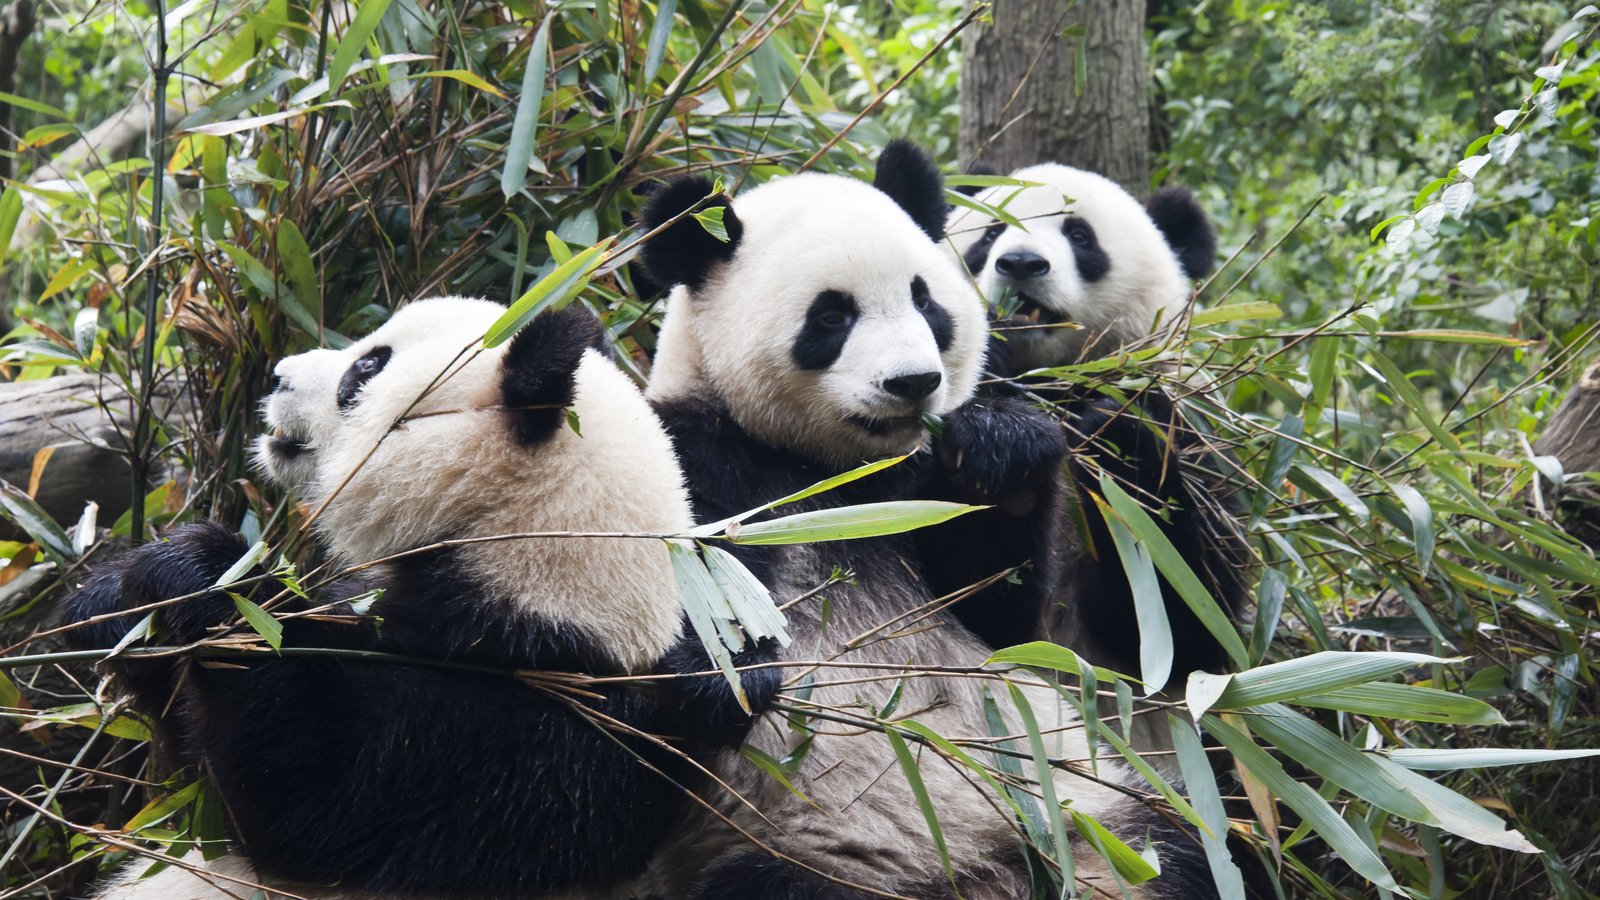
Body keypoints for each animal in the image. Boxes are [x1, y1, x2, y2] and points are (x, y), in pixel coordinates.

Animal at [64, 297, 777, 899]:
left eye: (367, 367)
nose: (279, 374)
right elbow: (189, 766)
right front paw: (111, 601)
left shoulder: (538, 728)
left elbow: (311, 798)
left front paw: (205, 577)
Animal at [634, 143, 1215, 900]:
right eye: (831, 317)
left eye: (926, 300)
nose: (914, 382)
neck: (836, 470)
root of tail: (988, 873)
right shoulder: (699, 455)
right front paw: (725, 671)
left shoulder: (917, 490)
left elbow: (1008, 621)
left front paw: (1005, 451)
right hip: (813, 855)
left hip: (1106, 816)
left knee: (1195, 848)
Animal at [947, 163, 1252, 716]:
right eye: (989, 233)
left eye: (1081, 236)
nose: (1020, 263)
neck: (1052, 378)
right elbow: (982, 613)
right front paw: (1000, 446)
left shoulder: (1187, 431)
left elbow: (1188, 629)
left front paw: (1115, 441)